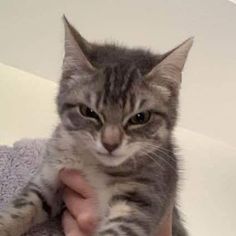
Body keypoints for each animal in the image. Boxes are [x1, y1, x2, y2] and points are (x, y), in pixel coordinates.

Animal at [0, 16, 193, 236]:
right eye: (88, 111)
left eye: (140, 117)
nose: (110, 143)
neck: (93, 164)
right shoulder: (49, 178)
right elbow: (20, 209)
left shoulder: (145, 197)